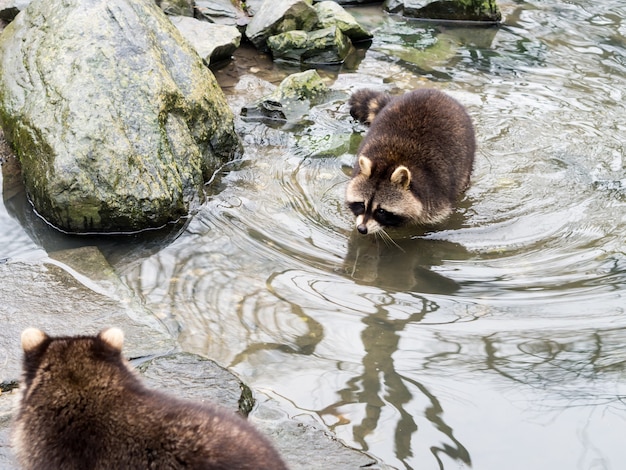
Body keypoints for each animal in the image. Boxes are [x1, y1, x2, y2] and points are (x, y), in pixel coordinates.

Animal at [346, 88, 472, 235]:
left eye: (381, 211)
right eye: (361, 204)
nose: (361, 229)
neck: (390, 162)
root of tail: (432, 91)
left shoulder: (435, 195)